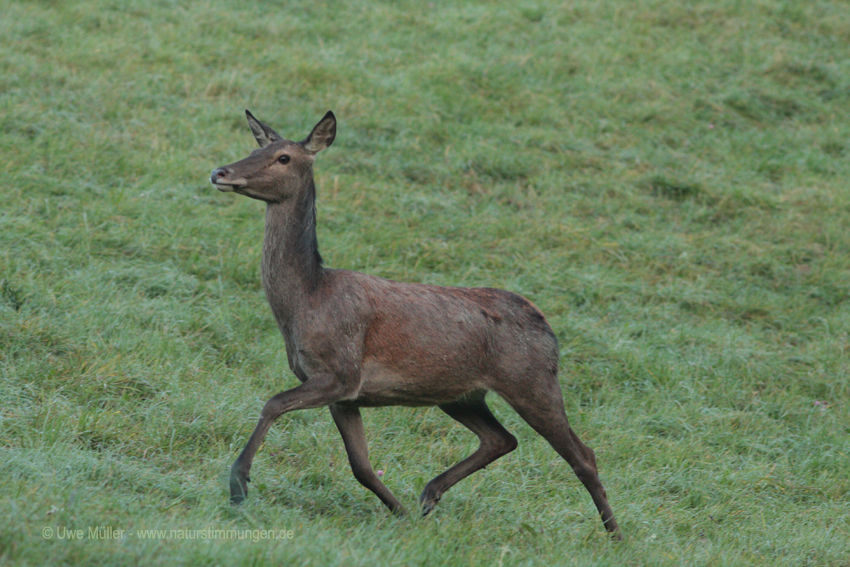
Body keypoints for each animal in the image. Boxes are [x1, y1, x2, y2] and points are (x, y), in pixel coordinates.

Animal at [210, 108, 624, 540]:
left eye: (284, 157)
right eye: (256, 148)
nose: (220, 172)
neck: (307, 300)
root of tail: (548, 328)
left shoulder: (341, 370)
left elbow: (273, 402)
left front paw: (238, 485)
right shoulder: (345, 395)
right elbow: (360, 465)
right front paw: (401, 513)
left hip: (532, 380)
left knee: (583, 454)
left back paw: (616, 536)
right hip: (461, 394)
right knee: (502, 438)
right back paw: (430, 494)